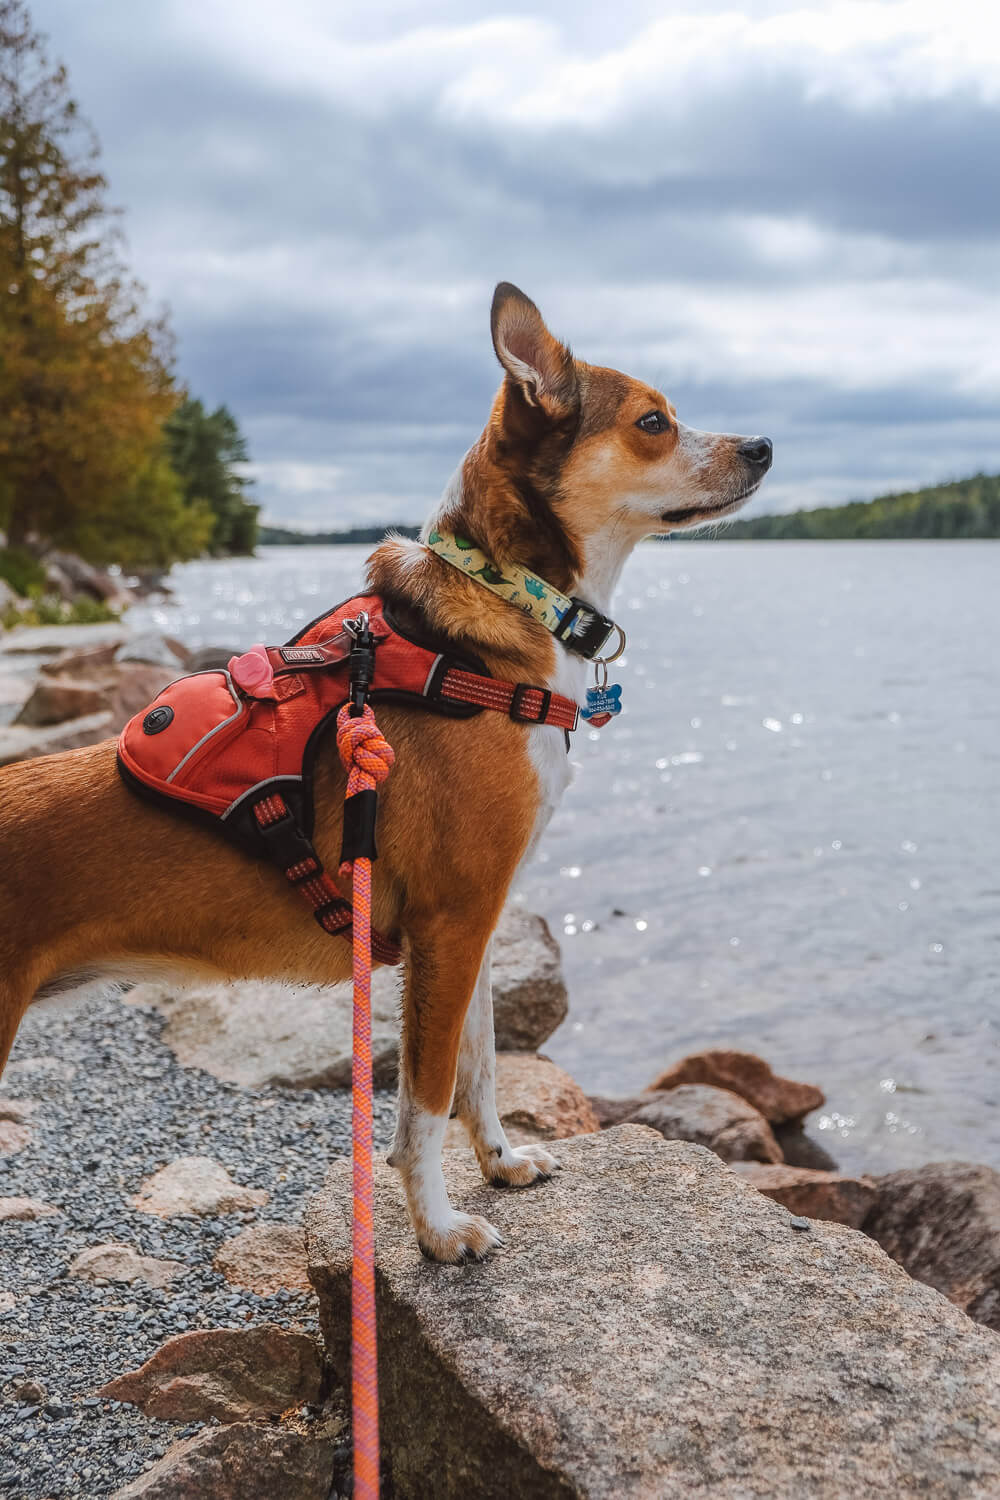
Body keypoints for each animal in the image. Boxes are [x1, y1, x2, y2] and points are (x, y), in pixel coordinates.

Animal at [0, 283, 773, 1266]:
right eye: (653, 422)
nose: (764, 446)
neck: (496, 621)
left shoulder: (479, 922)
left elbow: (481, 1070)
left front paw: (503, 1163)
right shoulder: (452, 921)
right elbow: (426, 1103)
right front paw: (438, 1233)